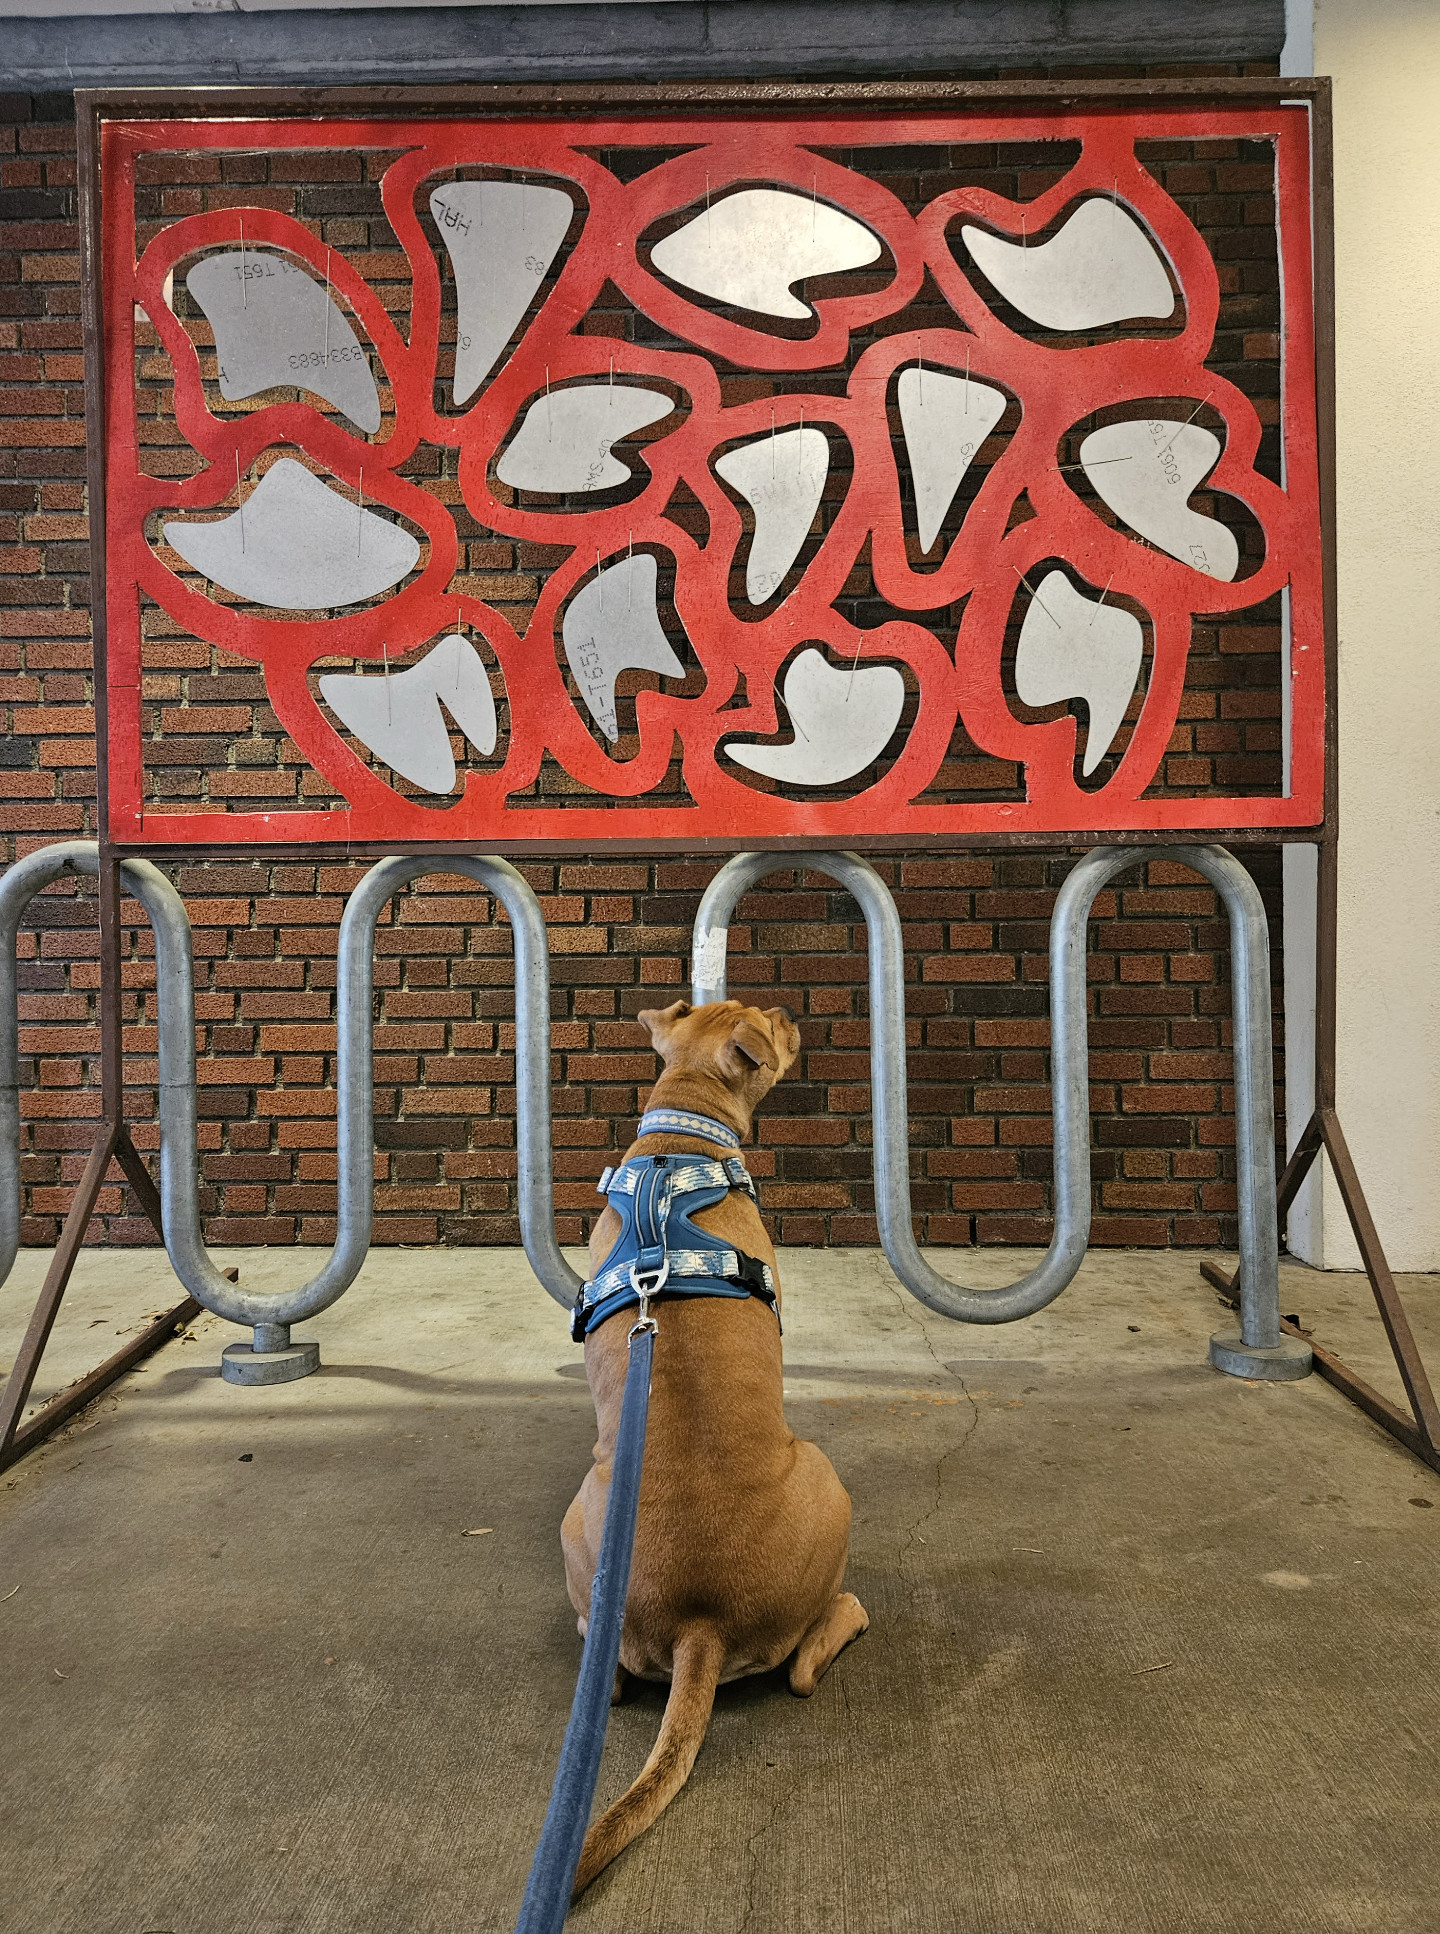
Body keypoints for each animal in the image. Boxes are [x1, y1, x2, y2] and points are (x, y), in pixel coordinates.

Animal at [560, 1005, 865, 1895]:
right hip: (829, 1482)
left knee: (606, 1673)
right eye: (772, 1024)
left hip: (577, 1522)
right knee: (806, 1660)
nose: (792, 1014)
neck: (680, 1139)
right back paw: (848, 1613)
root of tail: (703, 1623)